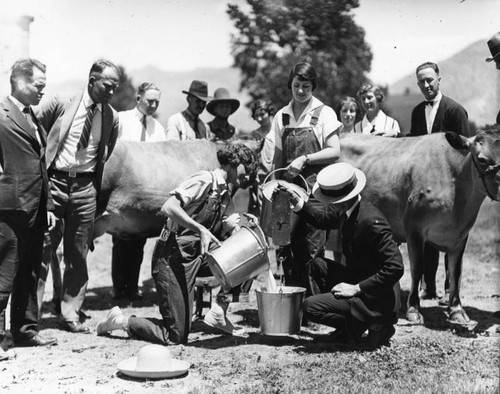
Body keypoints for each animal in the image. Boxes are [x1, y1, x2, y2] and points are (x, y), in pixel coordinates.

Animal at [340, 126, 500, 326]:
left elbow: (455, 271)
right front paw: (414, 310)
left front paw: (457, 310)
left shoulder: (462, 234)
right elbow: (417, 268)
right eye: (482, 159)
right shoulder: (414, 228)